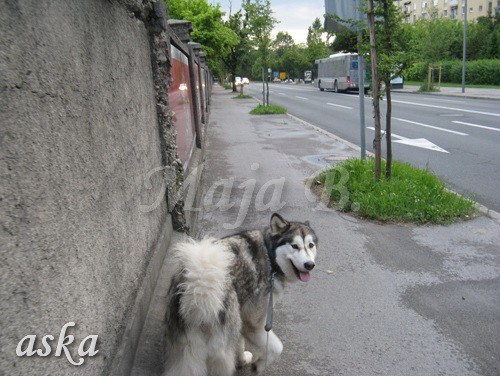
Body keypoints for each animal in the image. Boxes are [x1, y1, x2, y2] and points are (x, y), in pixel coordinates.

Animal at [164, 213, 320, 374]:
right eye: (294, 246)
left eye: (310, 245)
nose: (309, 265)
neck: (270, 256)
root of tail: (199, 286)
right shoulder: (254, 323)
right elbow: (277, 347)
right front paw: (259, 365)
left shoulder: (242, 316)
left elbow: (240, 341)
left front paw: (242, 359)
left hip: (188, 351)